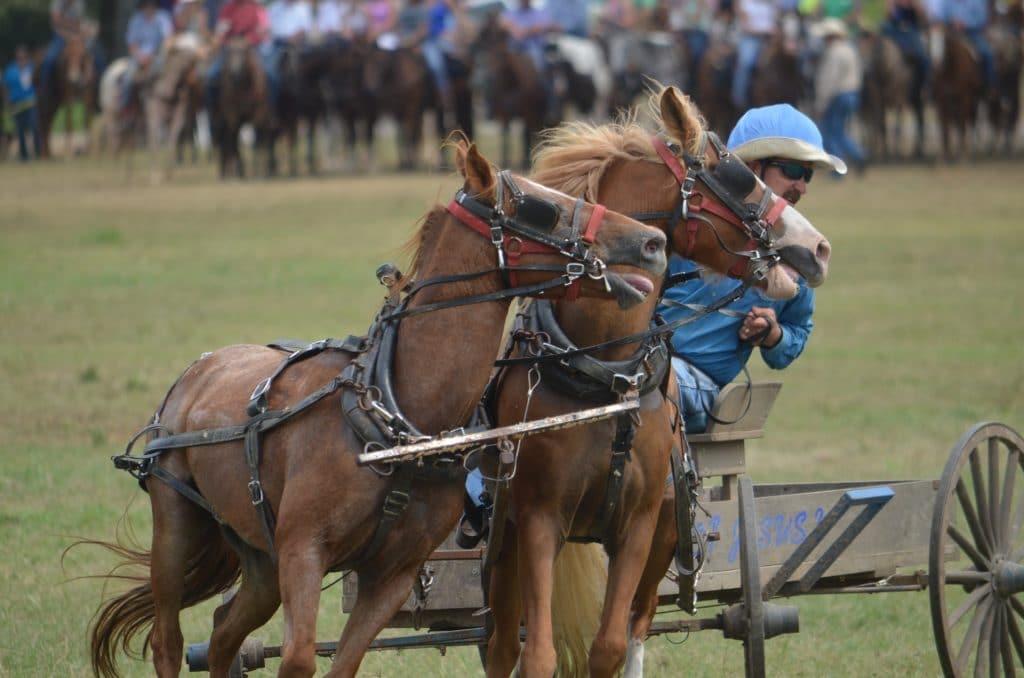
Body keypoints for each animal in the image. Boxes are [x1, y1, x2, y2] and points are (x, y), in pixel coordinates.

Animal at [86, 139, 663, 678]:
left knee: (226, 632)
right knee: (168, 640)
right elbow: (298, 659)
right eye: (540, 207)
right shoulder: (303, 551)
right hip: (178, 525)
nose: (653, 242)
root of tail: (199, 368)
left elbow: (343, 663)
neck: (397, 414)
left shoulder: (392, 574)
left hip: (259, 558)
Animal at [481, 86, 831, 678]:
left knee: (638, 625)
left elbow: (609, 647)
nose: (821, 247)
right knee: (504, 644)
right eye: (735, 174)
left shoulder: (639, 526)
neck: (606, 378)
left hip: (668, 536)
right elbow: (538, 653)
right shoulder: (537, 519)